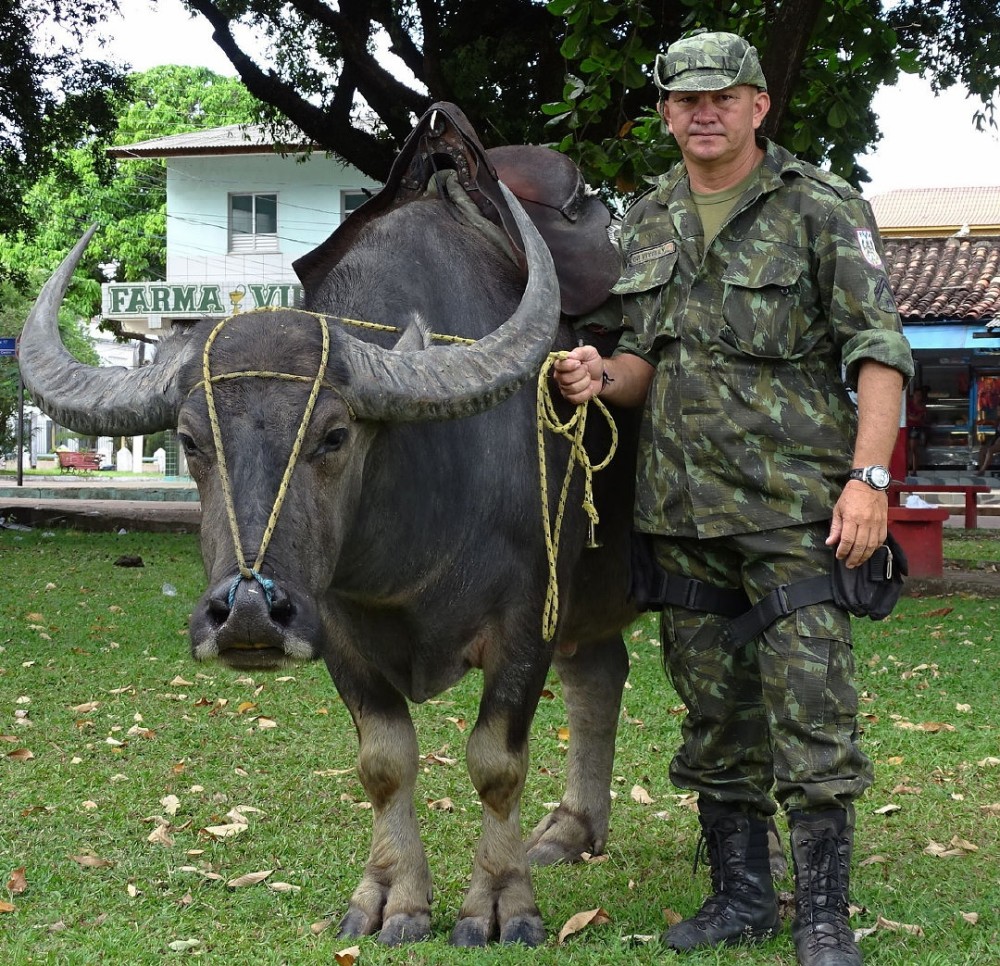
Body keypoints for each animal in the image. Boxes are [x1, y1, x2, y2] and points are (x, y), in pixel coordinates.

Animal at [19, 104, 636, 944]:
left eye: (336, 435)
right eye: (190, 440)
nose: (248, 613)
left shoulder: (527, 618)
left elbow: (495, 762)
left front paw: (500, 902)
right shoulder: (338, 629)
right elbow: (384, 760)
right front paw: (392, 897)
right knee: (599, 673)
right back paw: (572, 829)